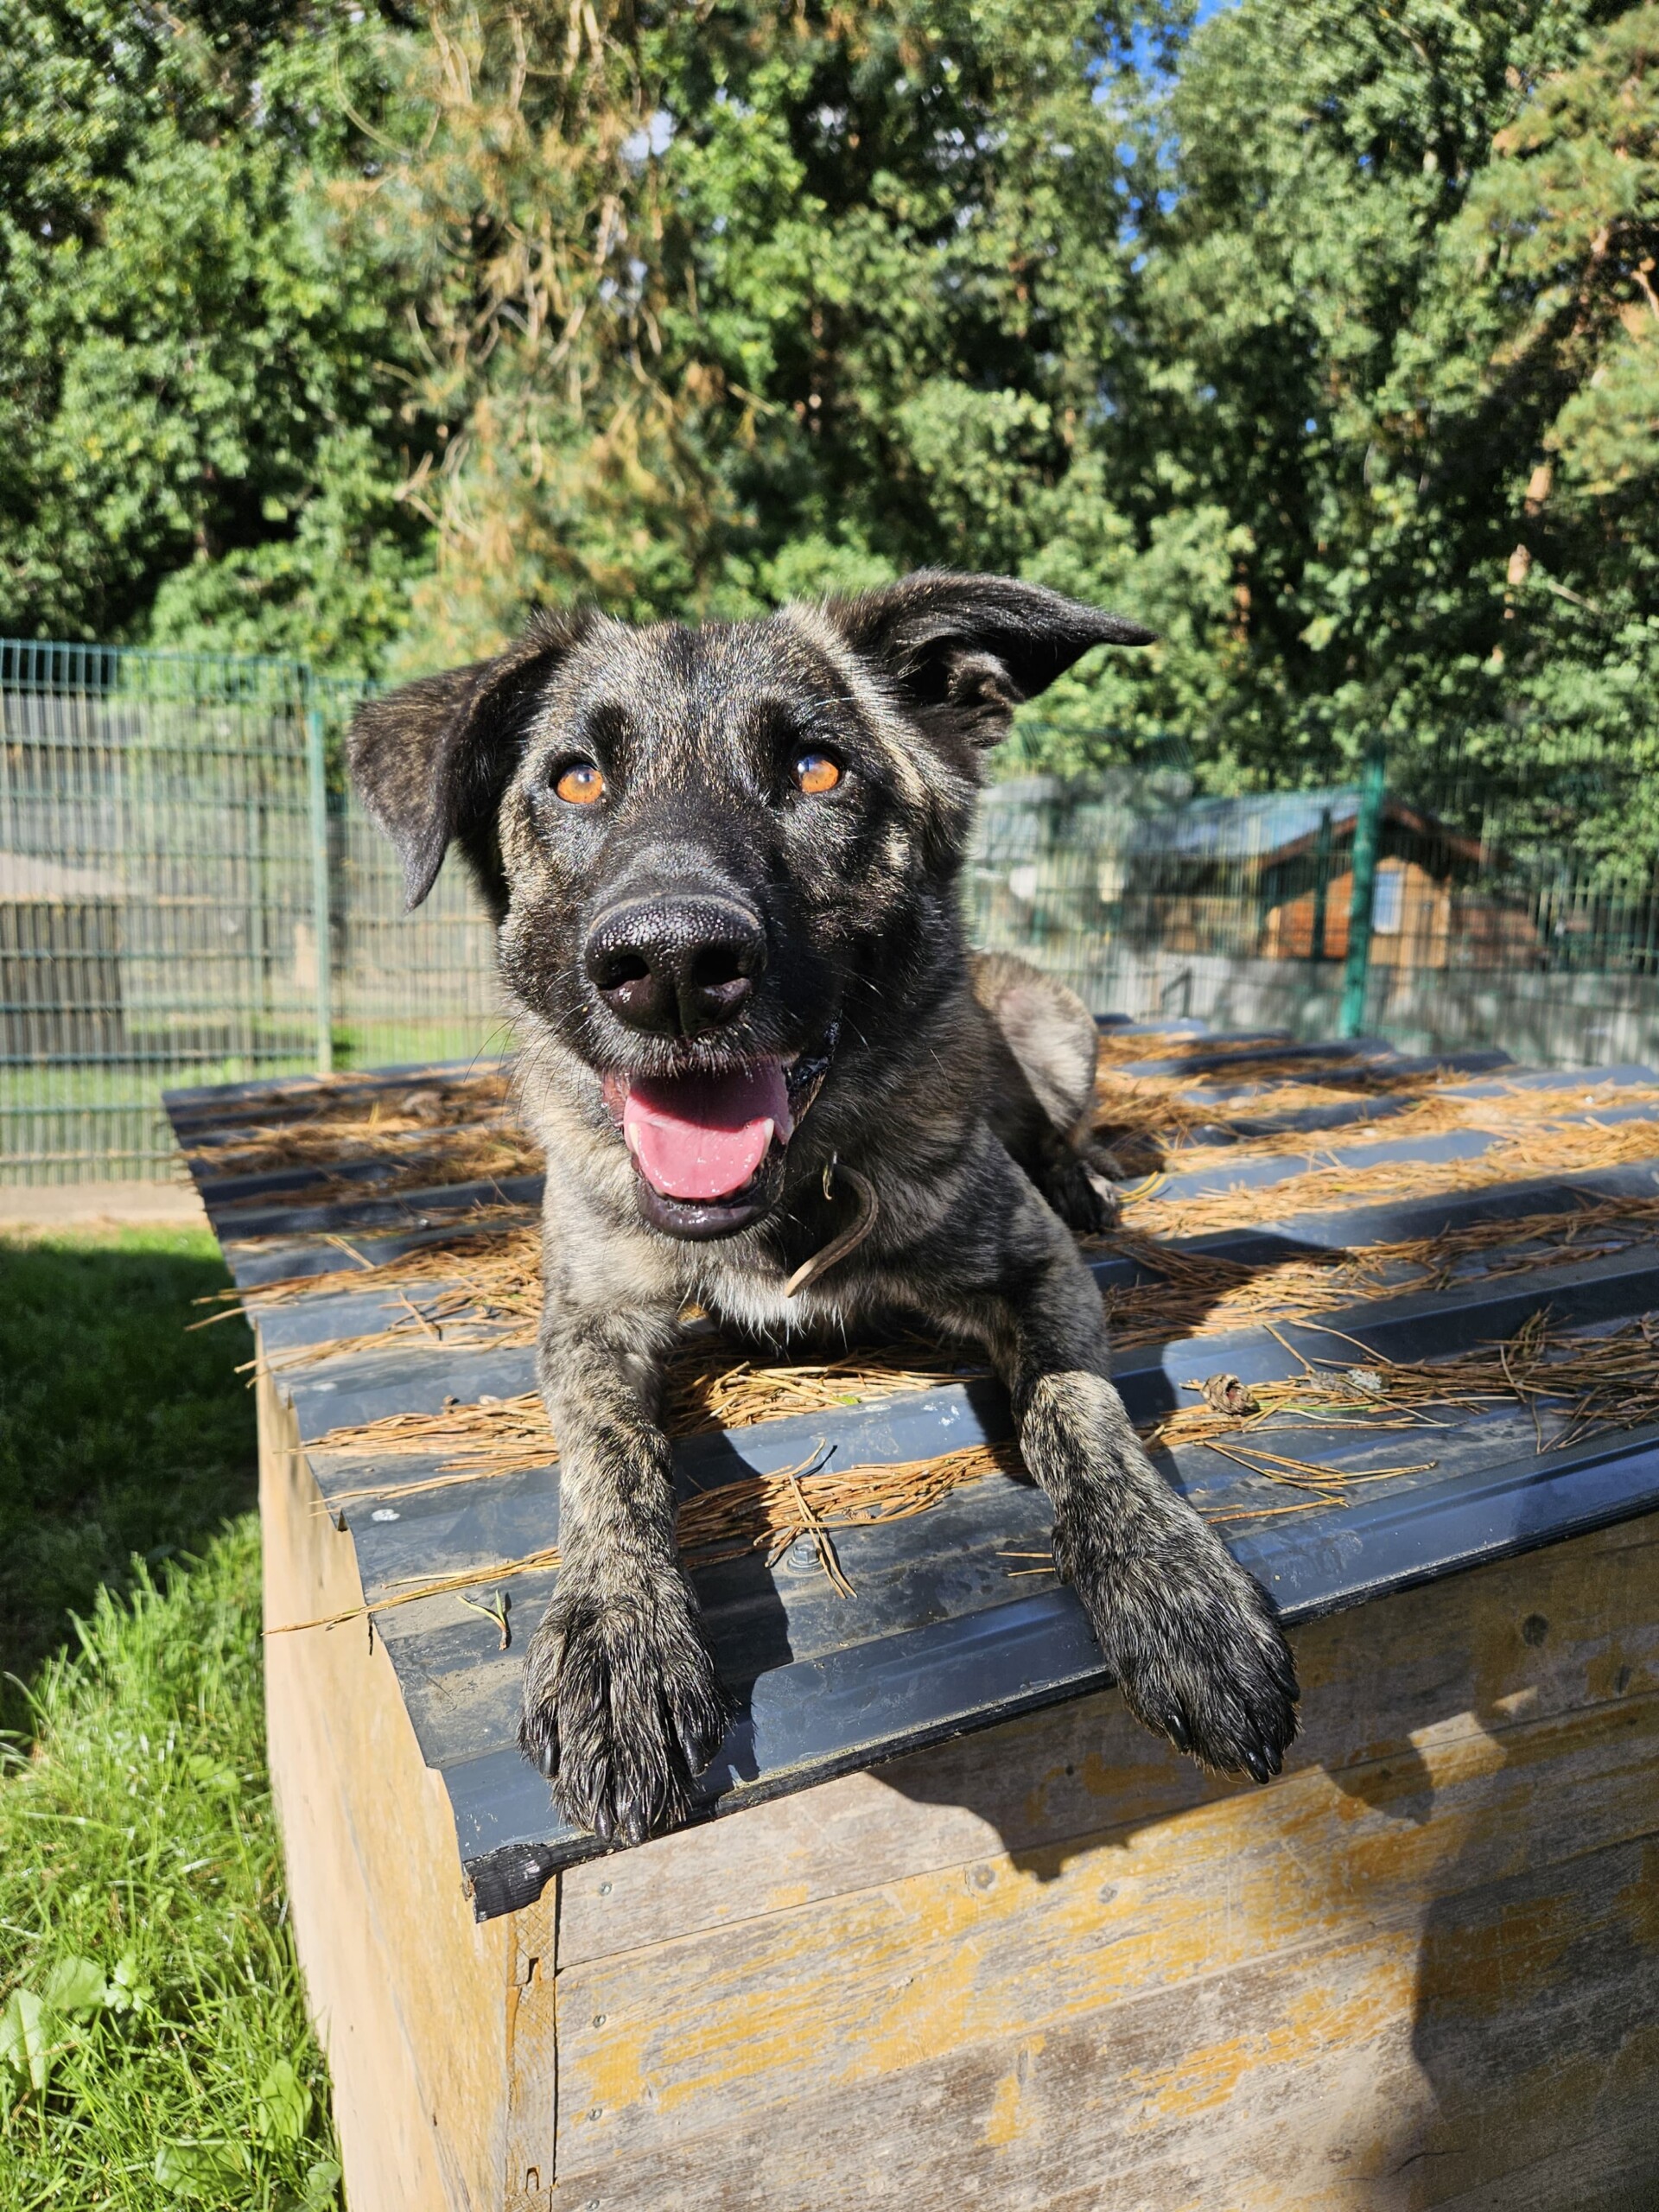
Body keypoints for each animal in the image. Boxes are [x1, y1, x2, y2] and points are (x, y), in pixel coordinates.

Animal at [348, 572, 1299, 1846]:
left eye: (816, 769)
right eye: (576, 779)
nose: (673, 966)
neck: (791, 1191)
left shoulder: (1037, 1271)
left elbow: (1079, 1411)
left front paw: (1174, 1586)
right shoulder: (589, 1316)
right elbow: (607, 1460)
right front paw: (617, 1635)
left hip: (1049, 1022)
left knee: (1058, 1137)